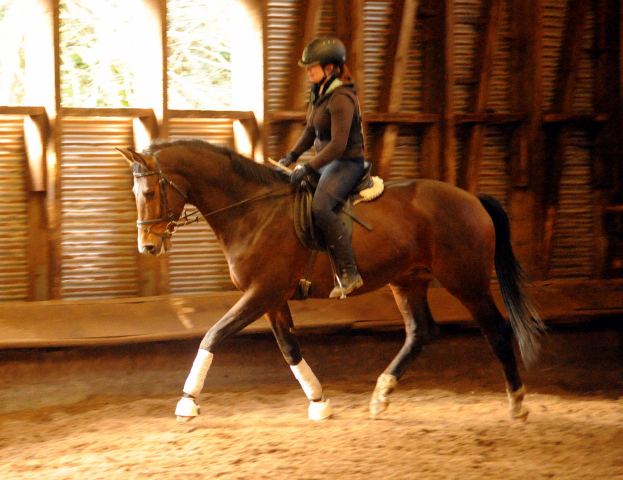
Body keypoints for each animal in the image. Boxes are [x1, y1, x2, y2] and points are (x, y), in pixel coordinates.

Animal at [118, 139, 544, 424]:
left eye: (150, 191)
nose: (148, 246)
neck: (253, 211)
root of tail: (471, 198)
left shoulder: (262, 292)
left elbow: (213, 335)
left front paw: (187, 401)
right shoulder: (272, 298)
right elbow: (289, 347)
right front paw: (319, 402)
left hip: (466, 280)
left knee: (497, 330)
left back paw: (517, 404)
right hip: (408, 280)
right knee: (420, 332)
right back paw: (381, 396)